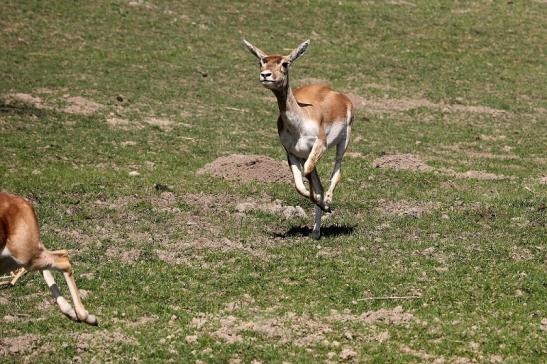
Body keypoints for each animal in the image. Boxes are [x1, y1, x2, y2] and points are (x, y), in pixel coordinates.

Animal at [242, 39, 354, 239]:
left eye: (285, 63)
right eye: (261, 61)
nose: (265, 75)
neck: (299, 123)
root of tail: (339, 95)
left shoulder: (320, 145)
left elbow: (308, 174)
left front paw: (325, 204)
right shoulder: (292, 153)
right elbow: (299, 185)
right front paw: (318, 203)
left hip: (344, 141)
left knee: (337, 171)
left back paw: (328, 202)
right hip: (307, 154)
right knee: (317, 182)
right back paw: (316, 231)